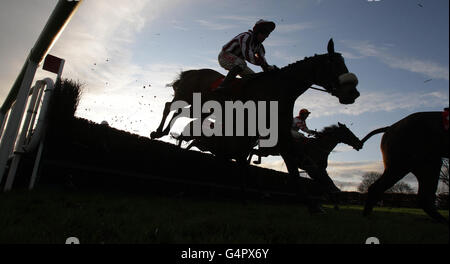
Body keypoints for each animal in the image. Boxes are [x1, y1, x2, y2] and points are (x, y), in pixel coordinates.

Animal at [150, 38, 358, 212]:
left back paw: (164, 133)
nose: (353, 93)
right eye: (334, 64)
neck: (277, 90)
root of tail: (190, 72)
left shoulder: (278, 133)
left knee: (178, 113)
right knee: (169, 107)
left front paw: (315, 203)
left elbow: (298, 167)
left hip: (200, 108)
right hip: (185, 96)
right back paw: (157, 133)